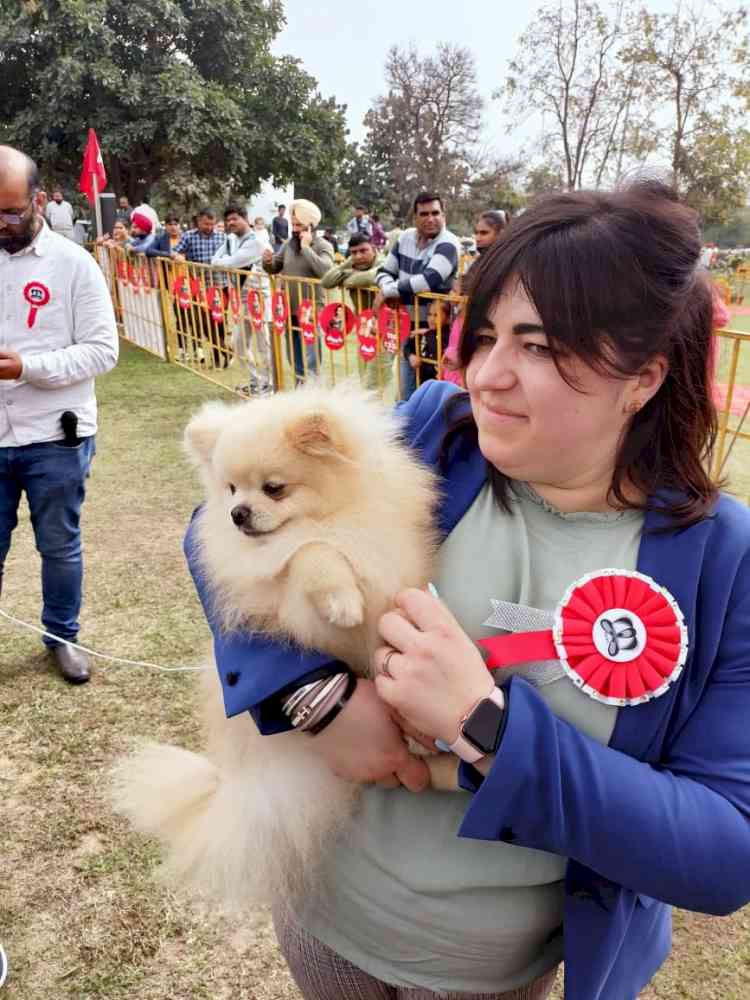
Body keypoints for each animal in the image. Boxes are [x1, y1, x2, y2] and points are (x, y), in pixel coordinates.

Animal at [113, 384, 458, 916]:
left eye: (273, 488)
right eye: (231, 489)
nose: (237, 514)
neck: (333, 519)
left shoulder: (393, 567)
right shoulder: (286, 590)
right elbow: (309, 557)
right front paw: (341, 601)